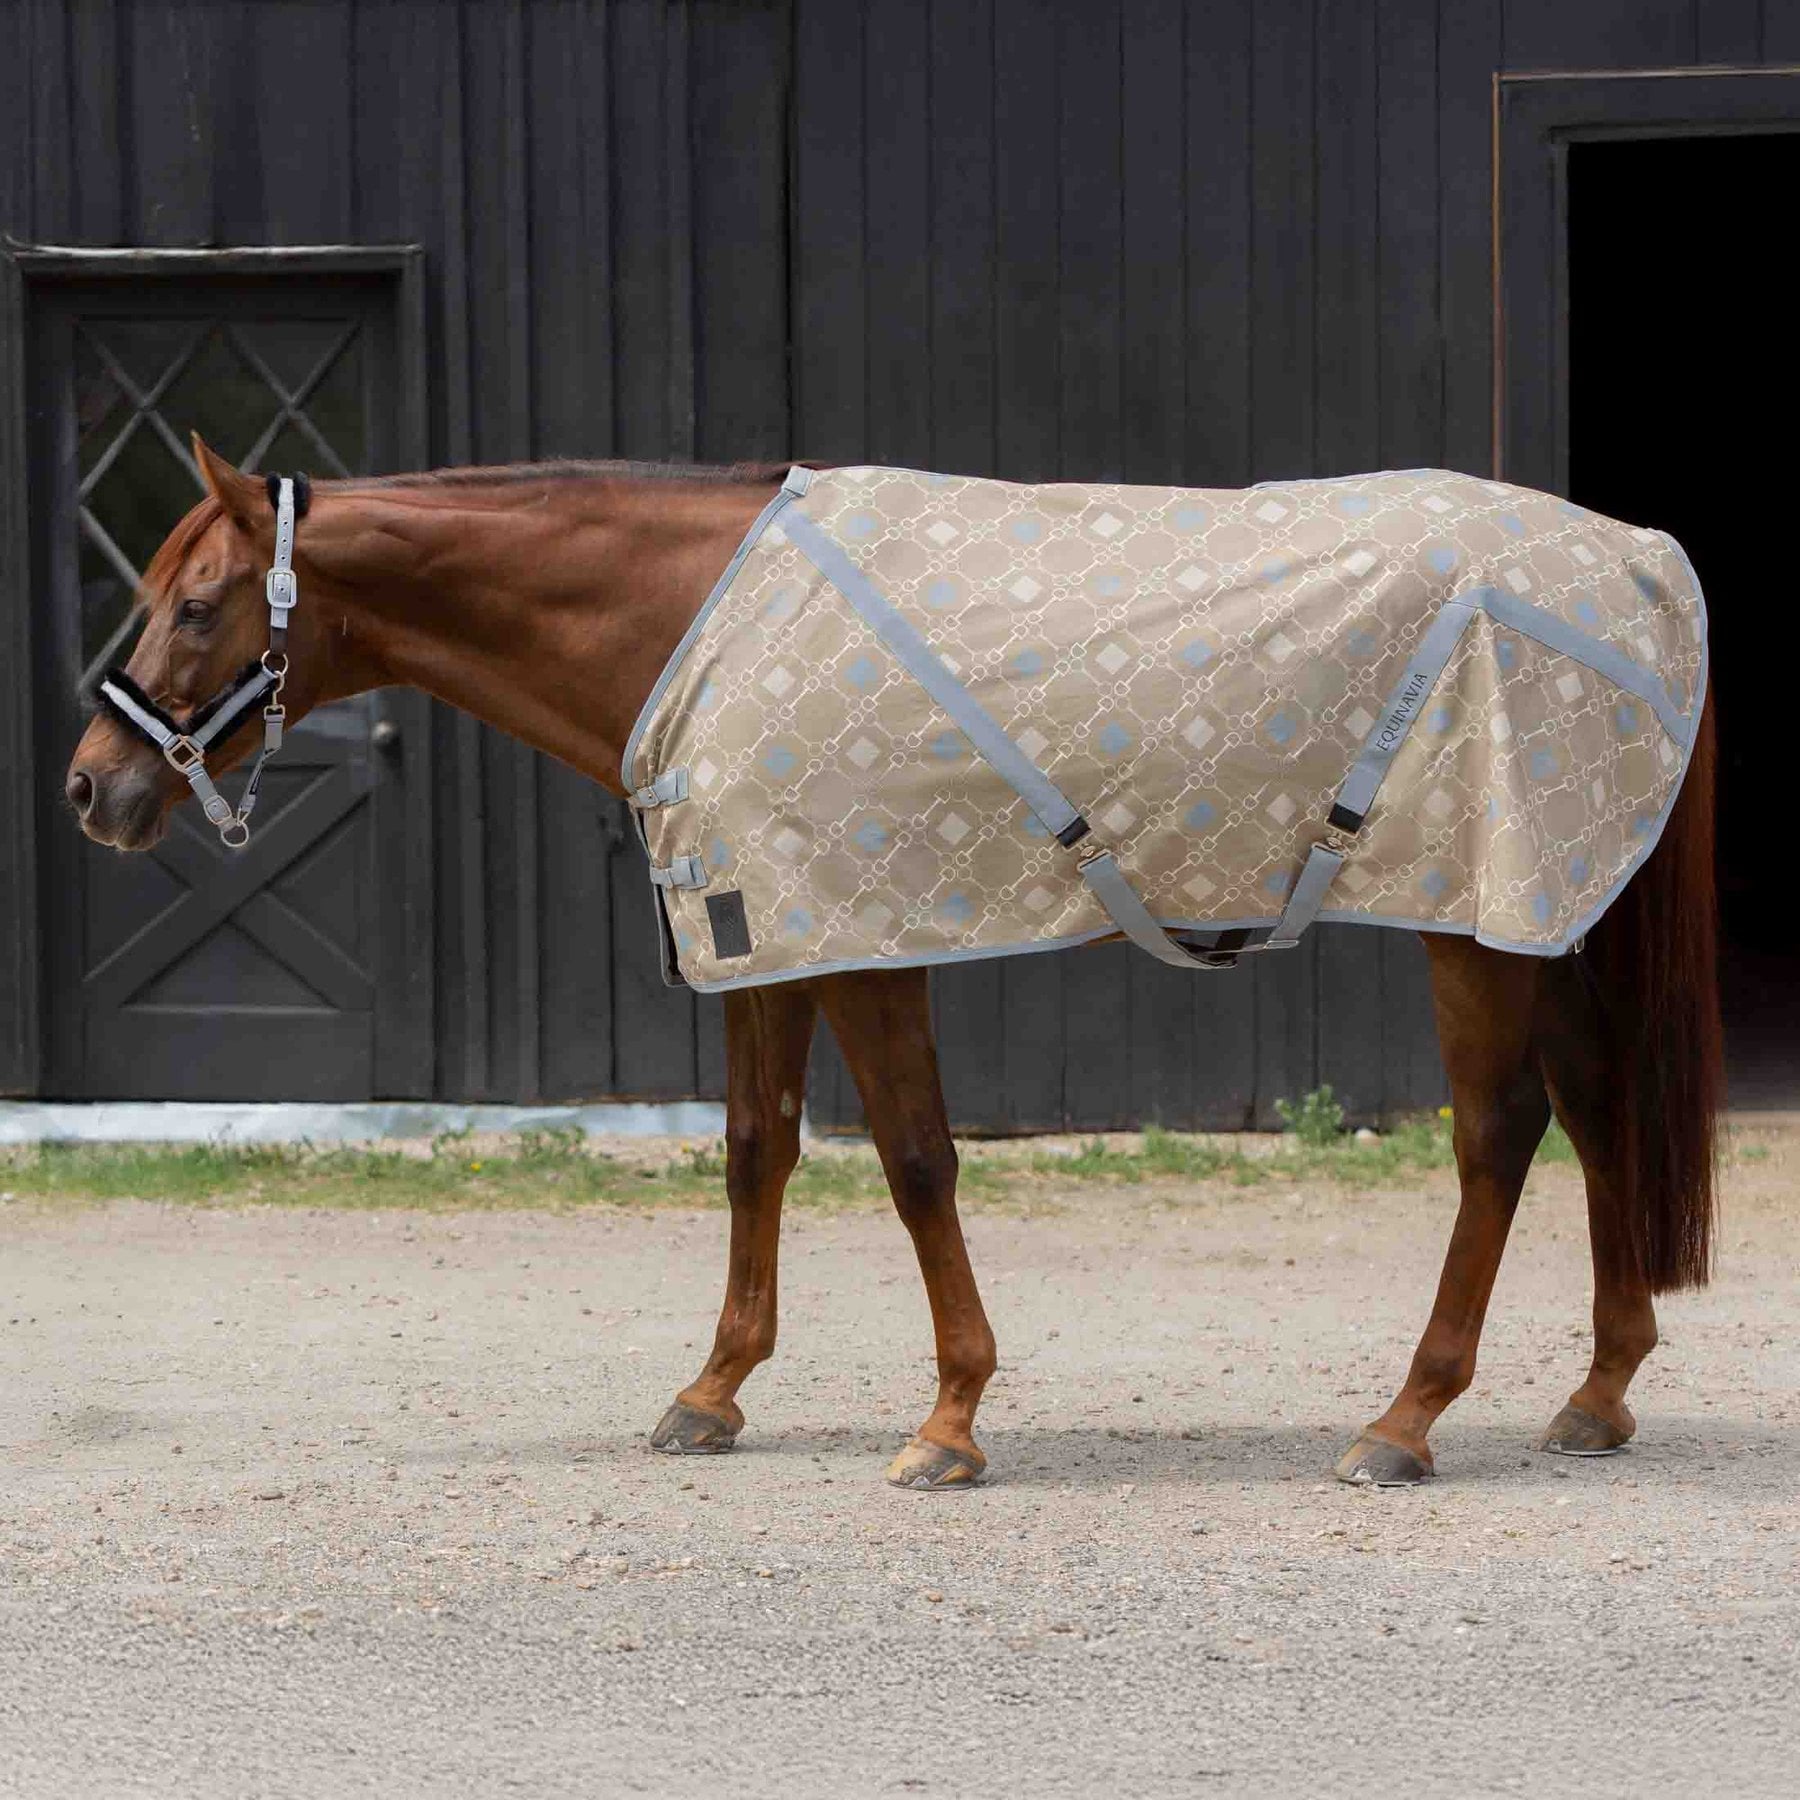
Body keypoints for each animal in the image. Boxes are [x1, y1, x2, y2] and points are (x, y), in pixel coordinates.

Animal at [64, 437, 1722, 1492]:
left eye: (197, 604)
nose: (92, 788)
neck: (699, 622)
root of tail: (1637, 557)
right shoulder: (766, 934)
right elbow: (756, 1152)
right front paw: (713, 1392)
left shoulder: (862, 942)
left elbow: (918, 1162)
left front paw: (950, 1420)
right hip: (1539, 915)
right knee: (1594, 1109)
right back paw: (1599, 1393)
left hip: (1473, 920)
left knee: (1499, 1137)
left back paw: (1406, 1420)